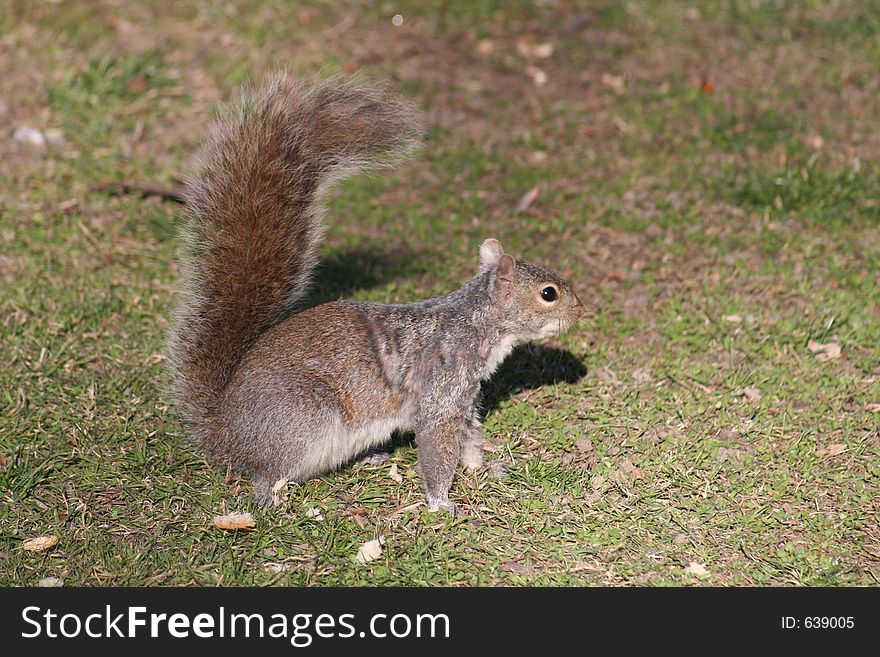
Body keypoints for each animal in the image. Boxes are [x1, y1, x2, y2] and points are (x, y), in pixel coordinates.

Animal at [169, 73, 588, 512]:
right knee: (265, 472)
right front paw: (441, 503)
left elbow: (470, 438)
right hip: (303, 415)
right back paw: (275, 499)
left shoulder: (465, 398)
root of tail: (221, 429)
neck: (476, 327)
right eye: (548, 294)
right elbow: (438, 450)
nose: (581, 310)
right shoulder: (440, 395)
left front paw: (486, 469)